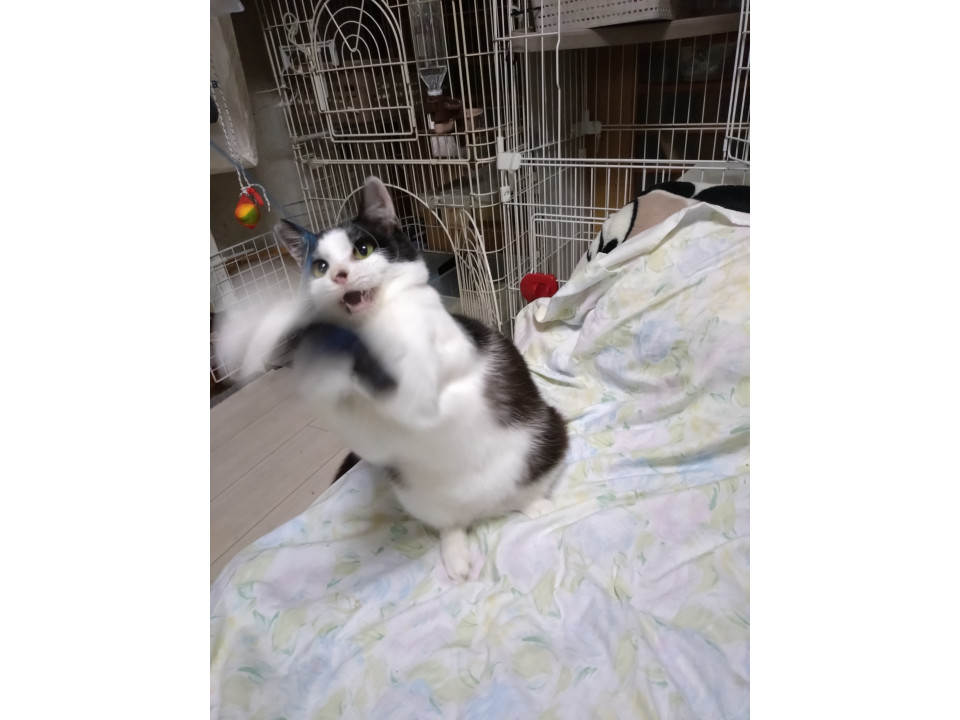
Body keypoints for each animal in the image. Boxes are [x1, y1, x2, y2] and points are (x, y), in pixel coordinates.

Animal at [222, 176, 568, 580]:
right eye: (320, 266)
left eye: (363, 249)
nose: (339, 275)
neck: (377, 323)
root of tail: (486, 509)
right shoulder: (372, 436)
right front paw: (263, 328)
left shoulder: (437, 366)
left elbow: (409, 389)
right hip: (417, 495)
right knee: (450, 523)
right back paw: (456, 552)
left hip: (548, 439)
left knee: (526, 489)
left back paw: (536, 506)